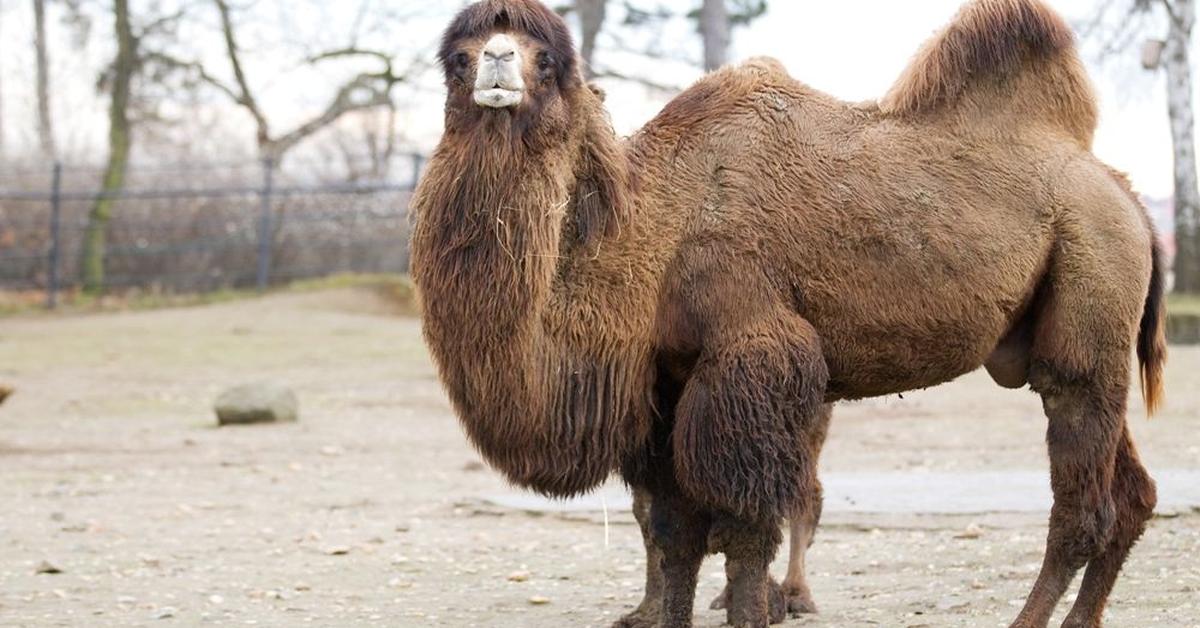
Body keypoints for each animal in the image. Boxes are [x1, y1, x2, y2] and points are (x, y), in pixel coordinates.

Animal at [410, 1, 1161, 628]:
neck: (656, 229)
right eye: (457, 57)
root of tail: (1127, 197)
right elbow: (672, 531)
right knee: (1132, 495)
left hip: (1092, 275)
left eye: (546, 59)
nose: (496, 64)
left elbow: (744, 528)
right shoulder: (666, 386)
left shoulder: (750, 356)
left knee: (1083, 504)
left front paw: (755, 609)